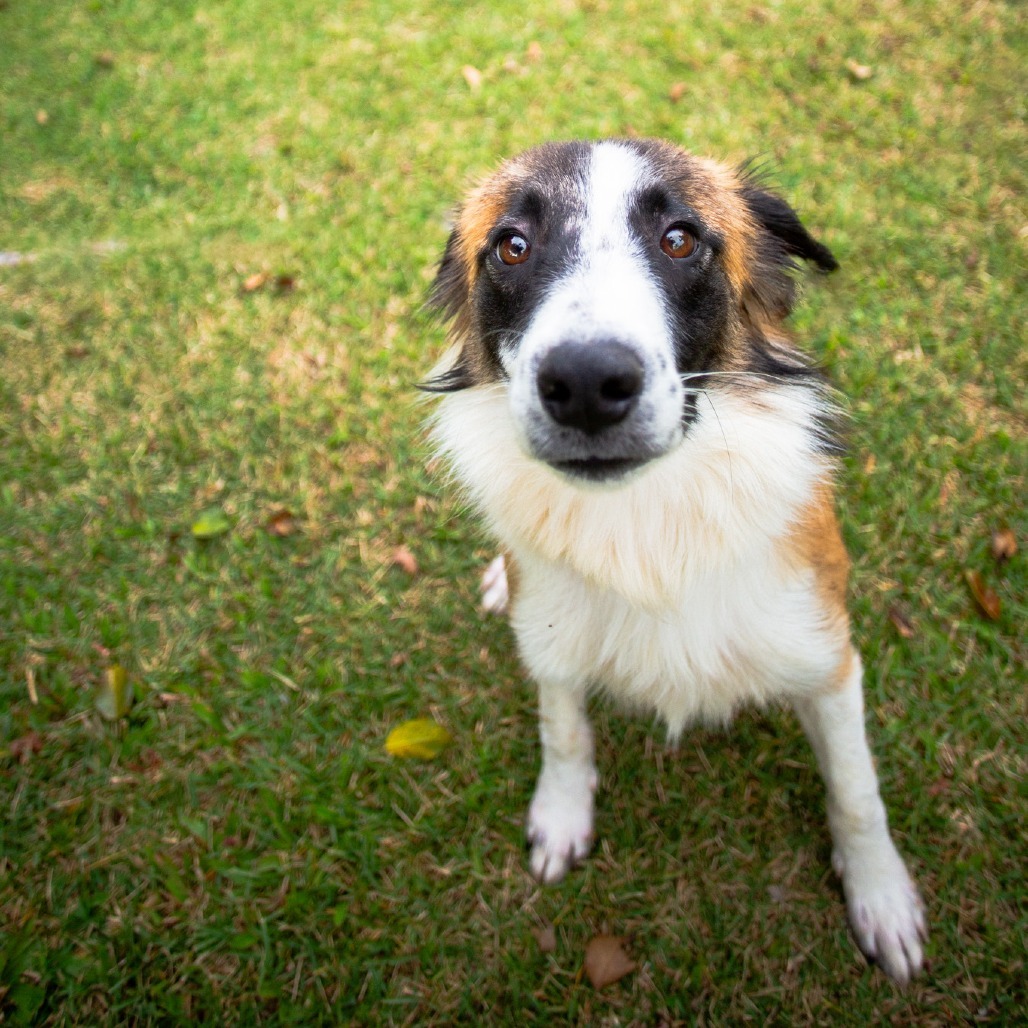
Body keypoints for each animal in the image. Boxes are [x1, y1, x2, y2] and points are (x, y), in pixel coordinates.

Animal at [421, 140, 929, 982]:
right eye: (512, 245)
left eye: (680, 239)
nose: (586, 384)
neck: (646, 520)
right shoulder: (554, 638)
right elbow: (563, 730)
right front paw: (561, 815)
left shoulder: (826, 655)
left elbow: (857, 790)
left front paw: (882, 898)